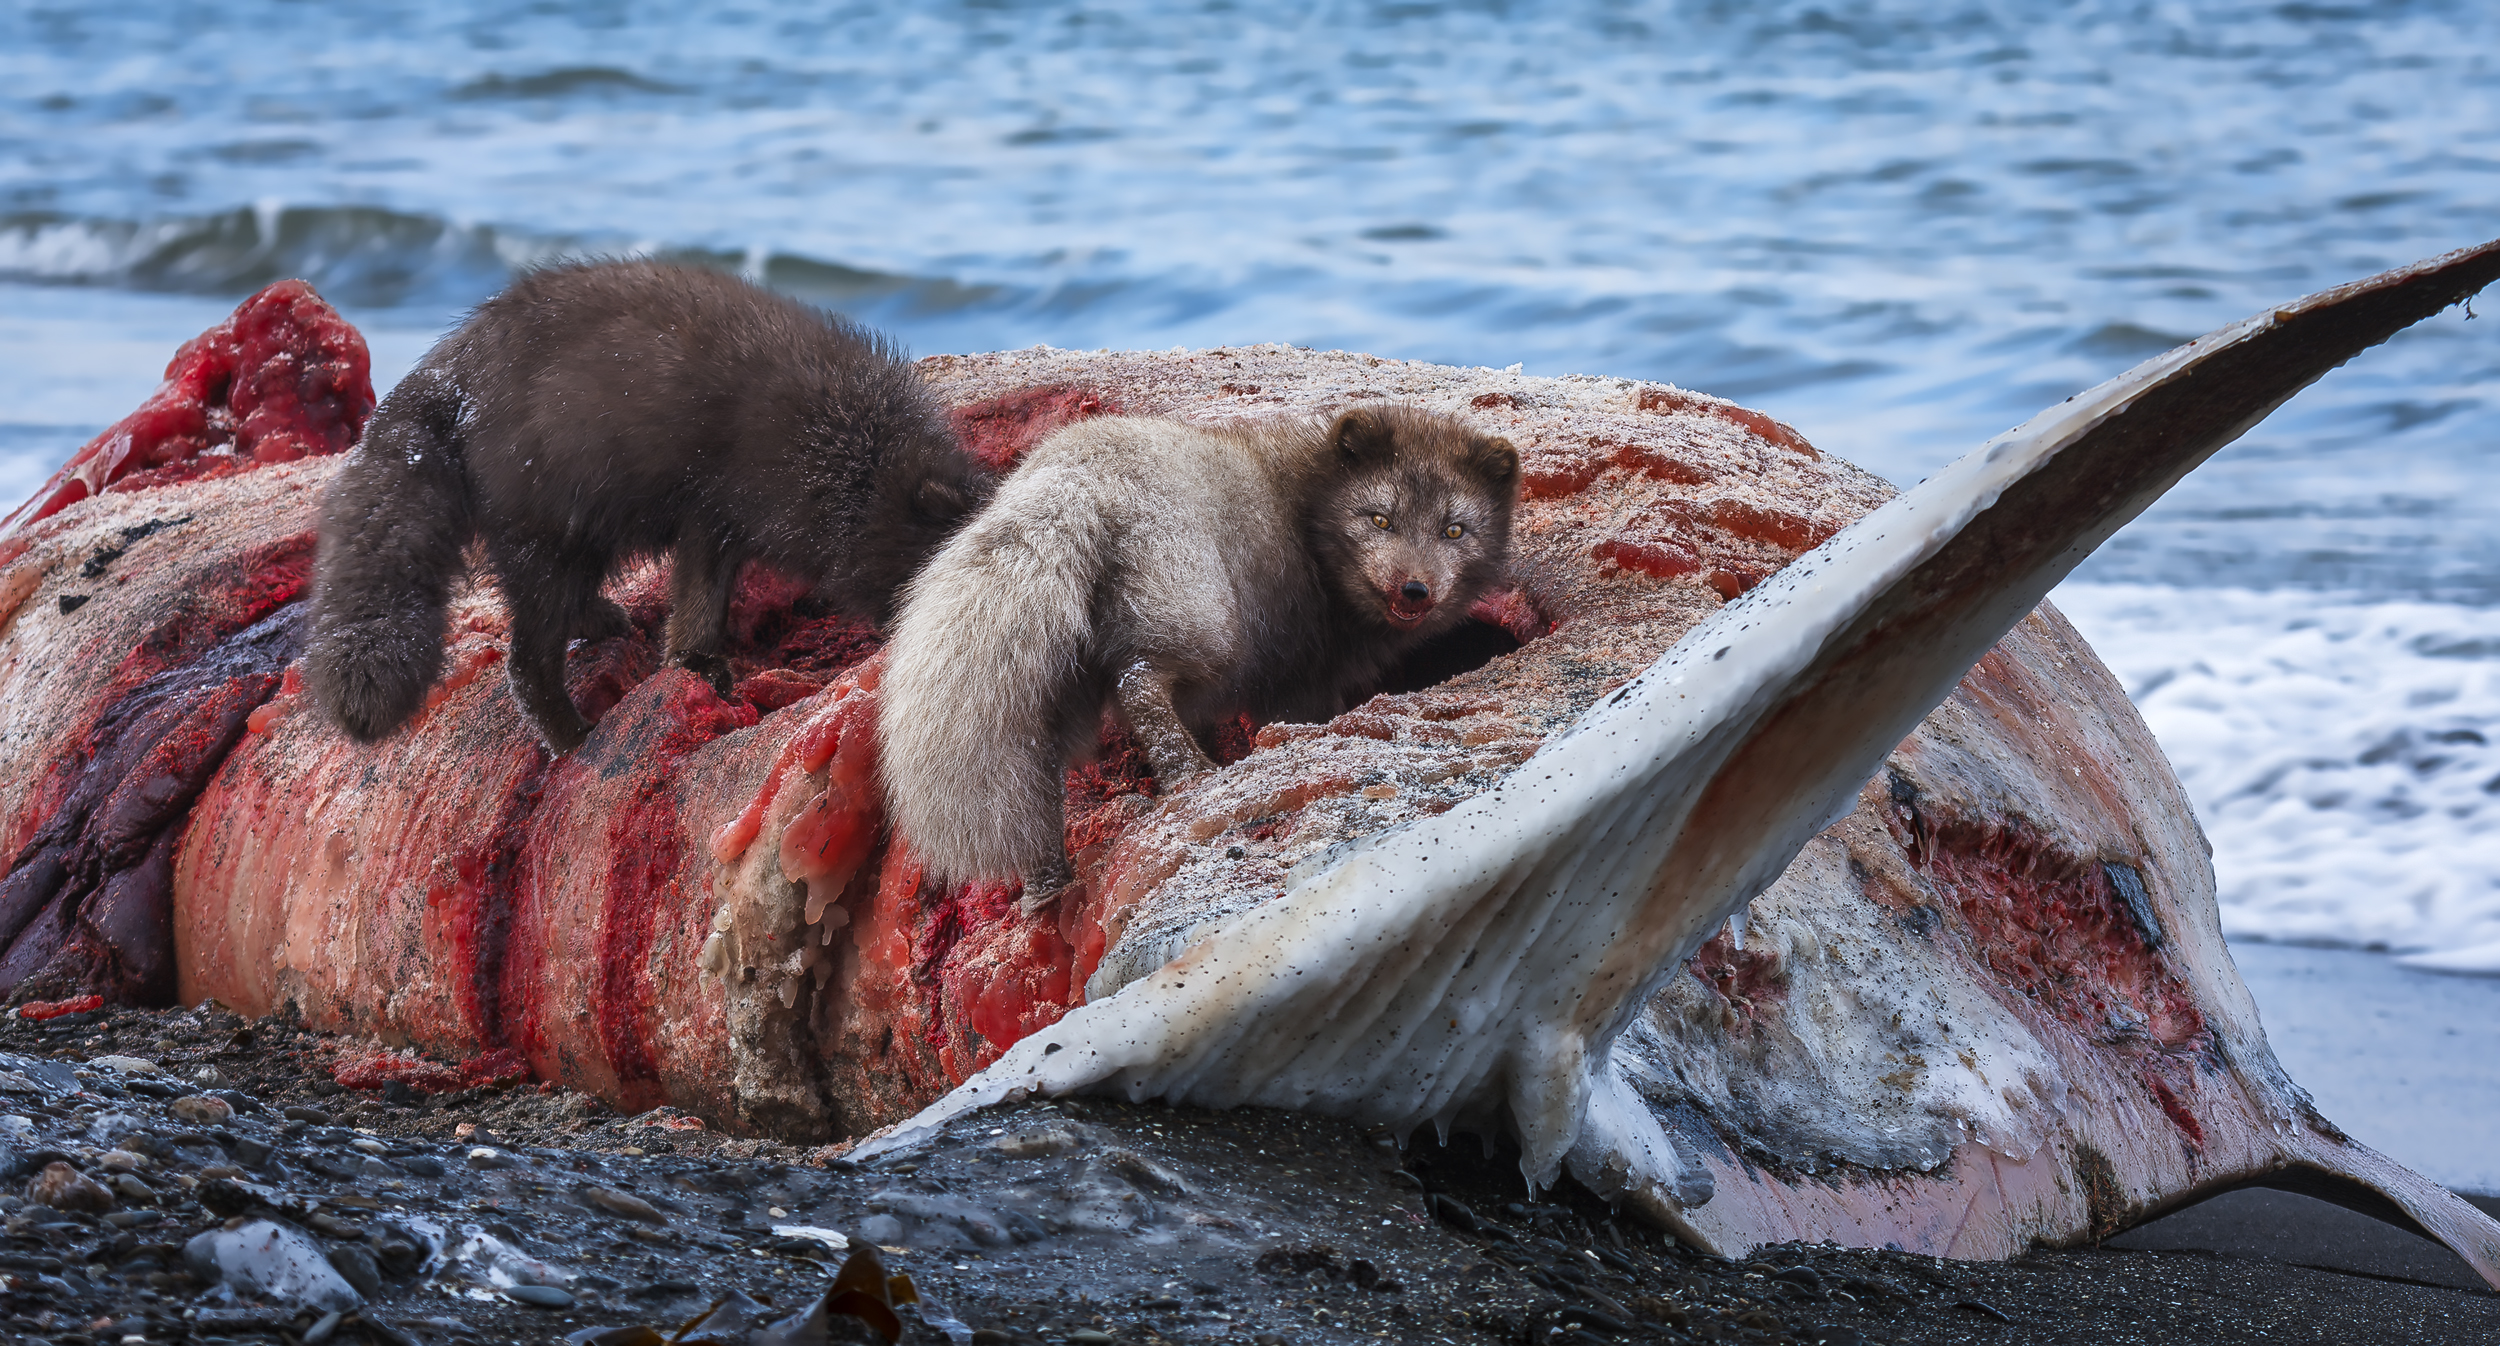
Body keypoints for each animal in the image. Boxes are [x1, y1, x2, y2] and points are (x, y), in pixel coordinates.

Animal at [302, 256, 985, 750]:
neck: (851, 457)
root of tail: (450, 373)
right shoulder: (715, 512)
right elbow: (700, 605)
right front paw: (697, 668)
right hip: (547, 539)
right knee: (525, 666)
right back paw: (572, 740)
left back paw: (602, 622)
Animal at [875, 397, 1520, 900]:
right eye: (1381, 519)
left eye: (1454, 530)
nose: (1414, 589)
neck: (1309, 511)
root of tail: (1072, 479)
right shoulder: (1298, 677)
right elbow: (1299, 713)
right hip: (1201, 620)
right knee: (1139, 682)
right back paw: (1190, 772)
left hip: (1056, 664)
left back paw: (1044, 877)